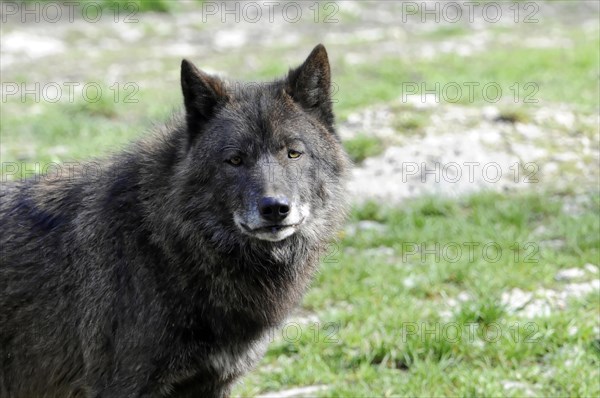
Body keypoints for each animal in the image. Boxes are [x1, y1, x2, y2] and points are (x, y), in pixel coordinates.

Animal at [0, 45, 350, 396]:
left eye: (293, 152)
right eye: (235, 159)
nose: (275, 208)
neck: (166, 243)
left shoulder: (214, 383)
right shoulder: (122, 385)